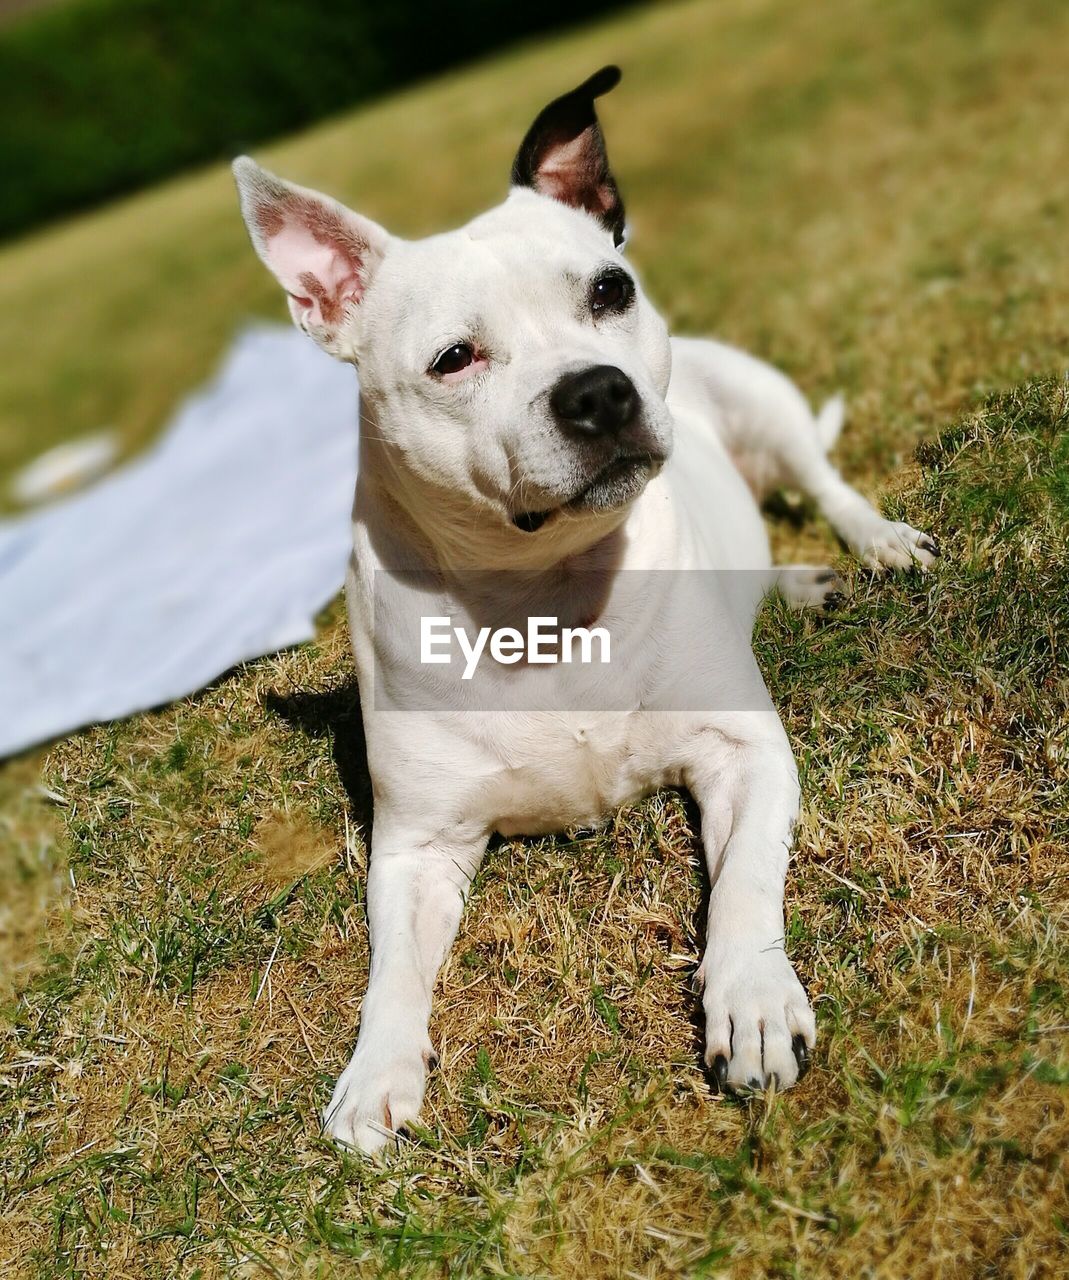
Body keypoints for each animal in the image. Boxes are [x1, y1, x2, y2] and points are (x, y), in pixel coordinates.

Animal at [236, 64, 937, 1157]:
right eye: (453, 358)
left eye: (608, 291)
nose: (598, 392)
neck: (545, 592)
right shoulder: (416, 846)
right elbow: (392, 971)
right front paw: (375, 1073)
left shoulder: (744, 753)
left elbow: (745, 884)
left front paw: (750, 998)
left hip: (763, 405)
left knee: (825, 484)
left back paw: (873, 543)